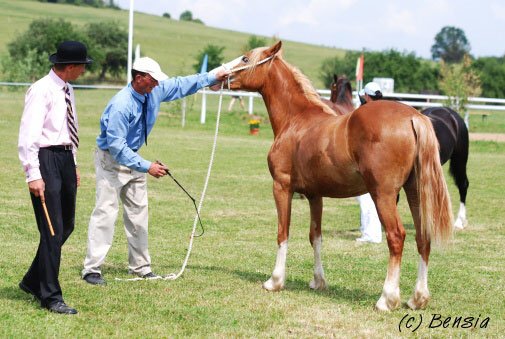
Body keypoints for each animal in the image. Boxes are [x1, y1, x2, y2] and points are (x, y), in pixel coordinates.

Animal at [222, 41, 450, 312]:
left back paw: (387, 299)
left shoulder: (282, 187)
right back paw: (418, 298)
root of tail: (414, 117)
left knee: (396, 237)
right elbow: (315, 237)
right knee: (423, 237)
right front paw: (318, 281)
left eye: (246, 58)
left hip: (383, 194)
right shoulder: (314, 195)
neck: (296, 120)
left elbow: (282, 232)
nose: (222, 77)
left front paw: (274, 281)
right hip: (415, 192)